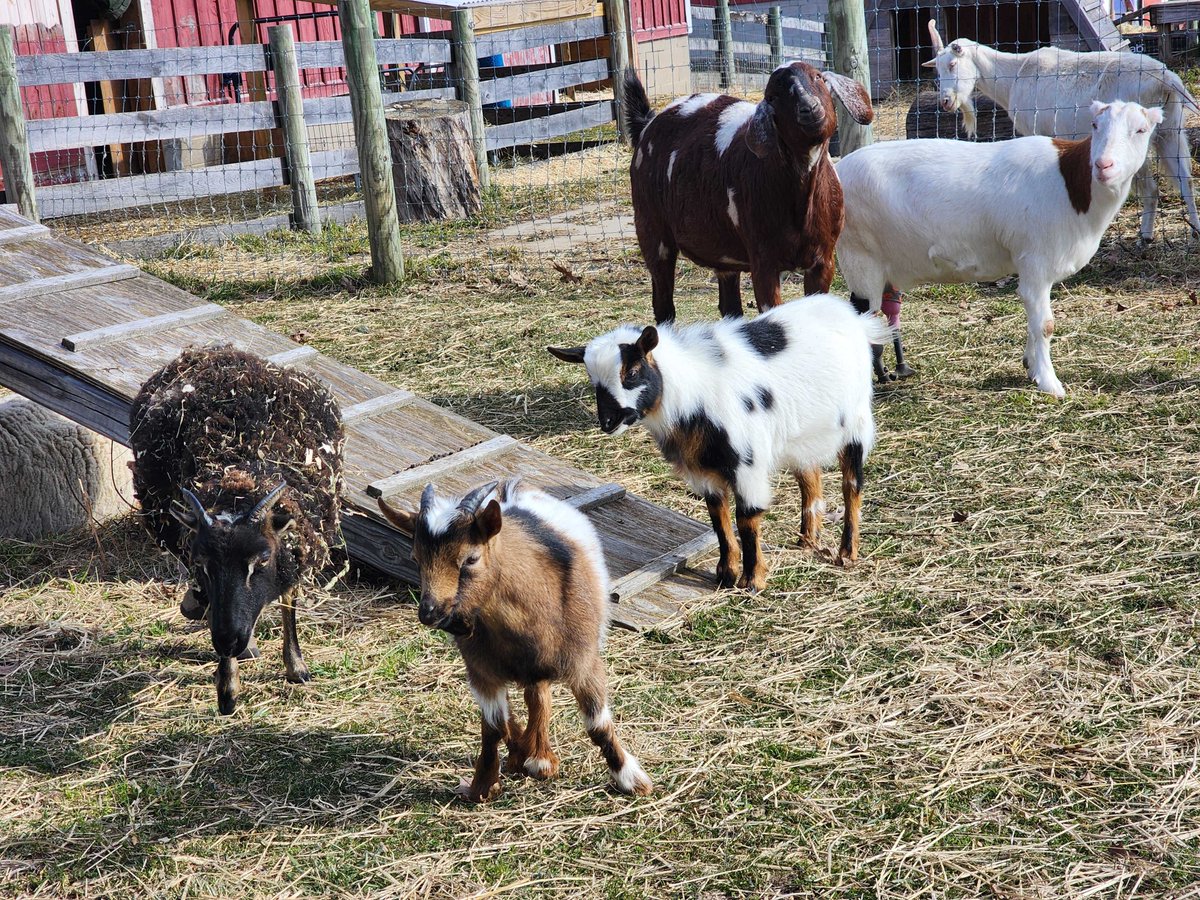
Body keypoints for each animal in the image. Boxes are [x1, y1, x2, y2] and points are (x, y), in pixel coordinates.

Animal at [132, 348, 348, 715]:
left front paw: (296, 667)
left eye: (261, 560)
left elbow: (289, 602)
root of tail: (215, 350)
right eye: (203, 563)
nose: (228, 639)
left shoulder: (296, 550)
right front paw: (228, 689)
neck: (240, 479)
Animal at [379, 480, 652, 801]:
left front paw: (631, 779)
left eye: (471, 558)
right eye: (416, 559)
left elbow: (598, 725)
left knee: (539, 697)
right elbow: (493, 728)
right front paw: (483, 785)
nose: (431, 613)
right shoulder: (481, 672)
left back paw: (539, 758)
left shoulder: (585, 663)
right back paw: (528, 754)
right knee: (529, 700)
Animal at [549, 296, 888, 592]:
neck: (693, 393)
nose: (608, 422)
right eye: (593, 381)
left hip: (856, 423)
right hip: (801, 436)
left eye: (631, 372)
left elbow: (746, 518)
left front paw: (752, 580)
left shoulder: (747, 463)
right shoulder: (702, 469)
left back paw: (847, 553)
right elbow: (718, 517)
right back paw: (807, 540)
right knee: (810, 479)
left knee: (852, 485)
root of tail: (853, 318)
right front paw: (726, 573)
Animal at [628, 63, 873, 324]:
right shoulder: (763, 260)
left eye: (817, 76)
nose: (809, 108)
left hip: (722, 251)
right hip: (652, 229)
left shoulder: (823, 259)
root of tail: (648, 125)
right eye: (772, 96)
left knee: (729, 307)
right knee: (663, 304)